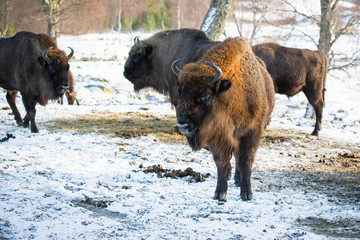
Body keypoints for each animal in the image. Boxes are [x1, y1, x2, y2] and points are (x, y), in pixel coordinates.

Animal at [173, 37, 274, 202]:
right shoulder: (217, 138)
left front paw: (247, 194)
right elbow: (221, 162)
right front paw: (219, 194)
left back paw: (238, 181)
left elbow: (245, 161)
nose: (183, 124)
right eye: (180, 91)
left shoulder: (251, 133)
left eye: (206, 95)